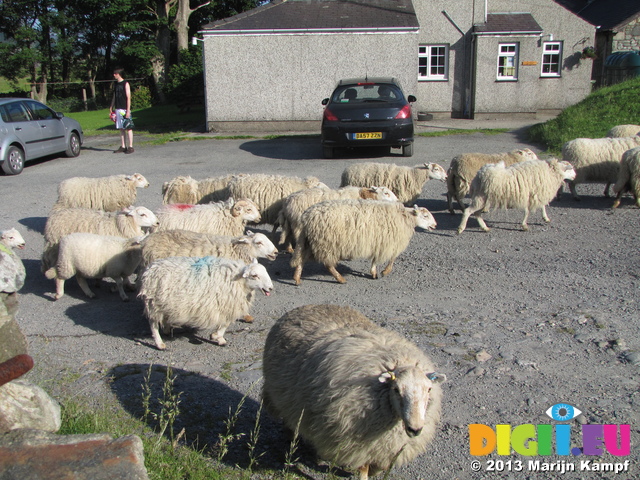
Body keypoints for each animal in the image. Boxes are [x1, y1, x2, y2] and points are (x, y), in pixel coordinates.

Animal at [139, 256, 274, 350]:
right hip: (153, 303)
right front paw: (218, 337)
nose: (271, 288)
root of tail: (150, 269)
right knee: (153, 324)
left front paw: (216, 337)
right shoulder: (225, 305)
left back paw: (167, 330)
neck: (239, 282)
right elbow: (225, 324)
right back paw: (159, 343)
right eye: (254, 276)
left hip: (164, 303)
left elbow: (225, 324)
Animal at [262, 304, 448, 480]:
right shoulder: (356, 442)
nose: (415, 429)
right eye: (396, 389)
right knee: (287, 417)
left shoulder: (383, 446)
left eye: (429, 389)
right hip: (279, 395)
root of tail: (304, 307)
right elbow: (363, 468)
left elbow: (380, 466)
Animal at [292, 200, 438, 284]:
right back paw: (341, 279)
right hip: (326, 243)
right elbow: (392, 258)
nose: (435, 225)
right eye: (425, 216)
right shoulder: (388, 242)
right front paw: (384, 272)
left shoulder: (378, 242)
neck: (404, 217)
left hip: (310, 241)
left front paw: (374, 272)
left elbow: (375, 259)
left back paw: (297, 278)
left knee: (302, 259)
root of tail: (306, 217)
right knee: (328, 264)